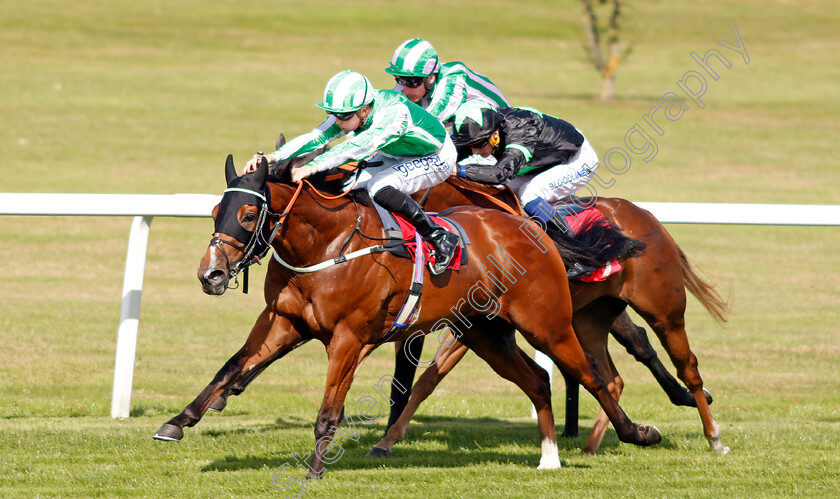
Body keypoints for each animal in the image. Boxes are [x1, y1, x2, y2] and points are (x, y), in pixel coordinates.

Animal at [154, 156, 660, 476]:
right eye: (214, 211)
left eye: (245, 213)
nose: (210, 274)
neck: (327, 245)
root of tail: (530, 227)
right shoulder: (283, 322)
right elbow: (231, 367)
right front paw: (177, 421)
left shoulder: (349, 336)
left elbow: (329, 409)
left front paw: (315, 470)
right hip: (485, 334)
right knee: (538, 381)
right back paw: (549, 457)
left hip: (547, 324)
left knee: (593, 375)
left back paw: (637, 433)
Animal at [370, 181, 732, 458]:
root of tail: (645, 214)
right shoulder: (475, 324)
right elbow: (427, 380)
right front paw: (387, 440)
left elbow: (429, 376)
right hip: (593, 314)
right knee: (617, 368)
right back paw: (597, 443)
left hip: (662, 309)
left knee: (673, 359)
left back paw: (709, 429)